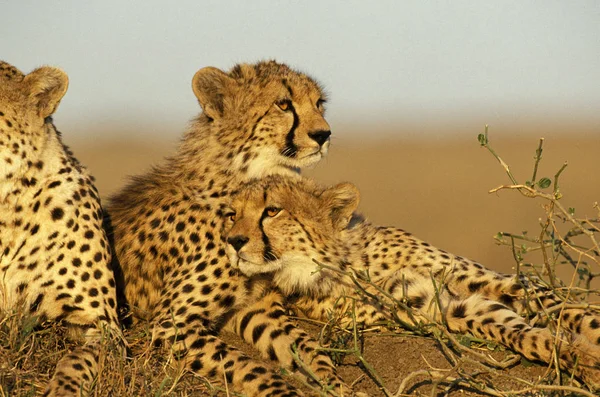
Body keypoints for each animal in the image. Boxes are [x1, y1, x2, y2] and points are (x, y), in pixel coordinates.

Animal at [105, 60, 356, 394]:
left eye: (319, 103)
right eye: (283, 104)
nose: (323, 134)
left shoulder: (258, 305)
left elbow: (305, 347)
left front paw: (336, 384)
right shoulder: (172, 323)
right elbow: (247, 366)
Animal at [224, 176, 600, 390]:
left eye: (272, 211)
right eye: (232, 214)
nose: (233, 241)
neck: (342, 265)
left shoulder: (491, 280)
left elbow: (564, 309)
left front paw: (587, 342)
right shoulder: (444, 308)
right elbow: (522, 333)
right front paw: (581, 359)